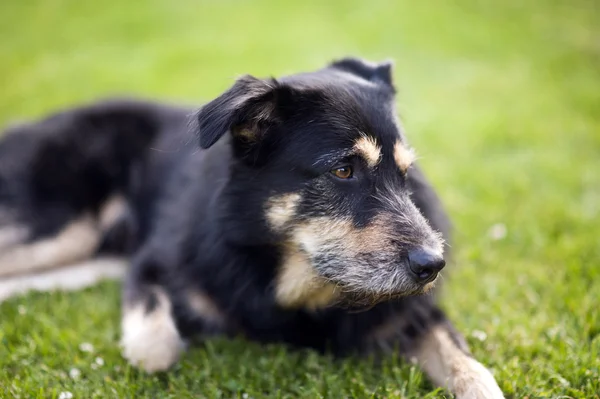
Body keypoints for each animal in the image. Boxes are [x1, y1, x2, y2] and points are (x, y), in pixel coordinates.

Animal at [0, 57, 504, 398]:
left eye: (405, 174)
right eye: (343, 170)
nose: (433, 265)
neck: (297, 286)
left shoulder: (412, 312)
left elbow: (473, 369)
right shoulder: (151, 263)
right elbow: (156, 350)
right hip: (62, 226)